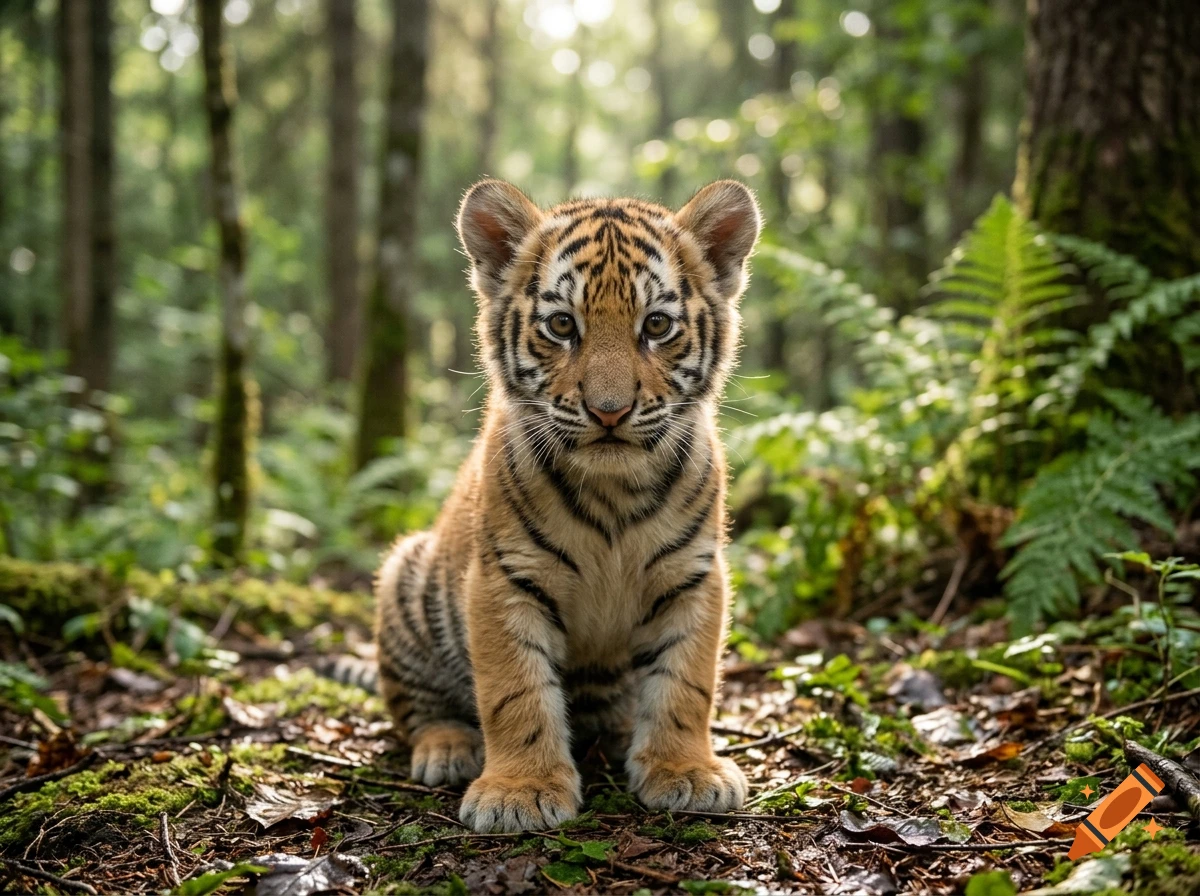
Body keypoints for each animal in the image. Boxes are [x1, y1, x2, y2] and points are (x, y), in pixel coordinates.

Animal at [374, 178, 761, 834]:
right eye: (561, 325)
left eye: (657, 325)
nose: (609, 411)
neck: (613, 489)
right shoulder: (505, 579)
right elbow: (515, 691)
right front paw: (520, 791)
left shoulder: (694, 577)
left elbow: (685, 683)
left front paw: (685, 771)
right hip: (406, 577)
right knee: (419, 712)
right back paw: (448, 749)